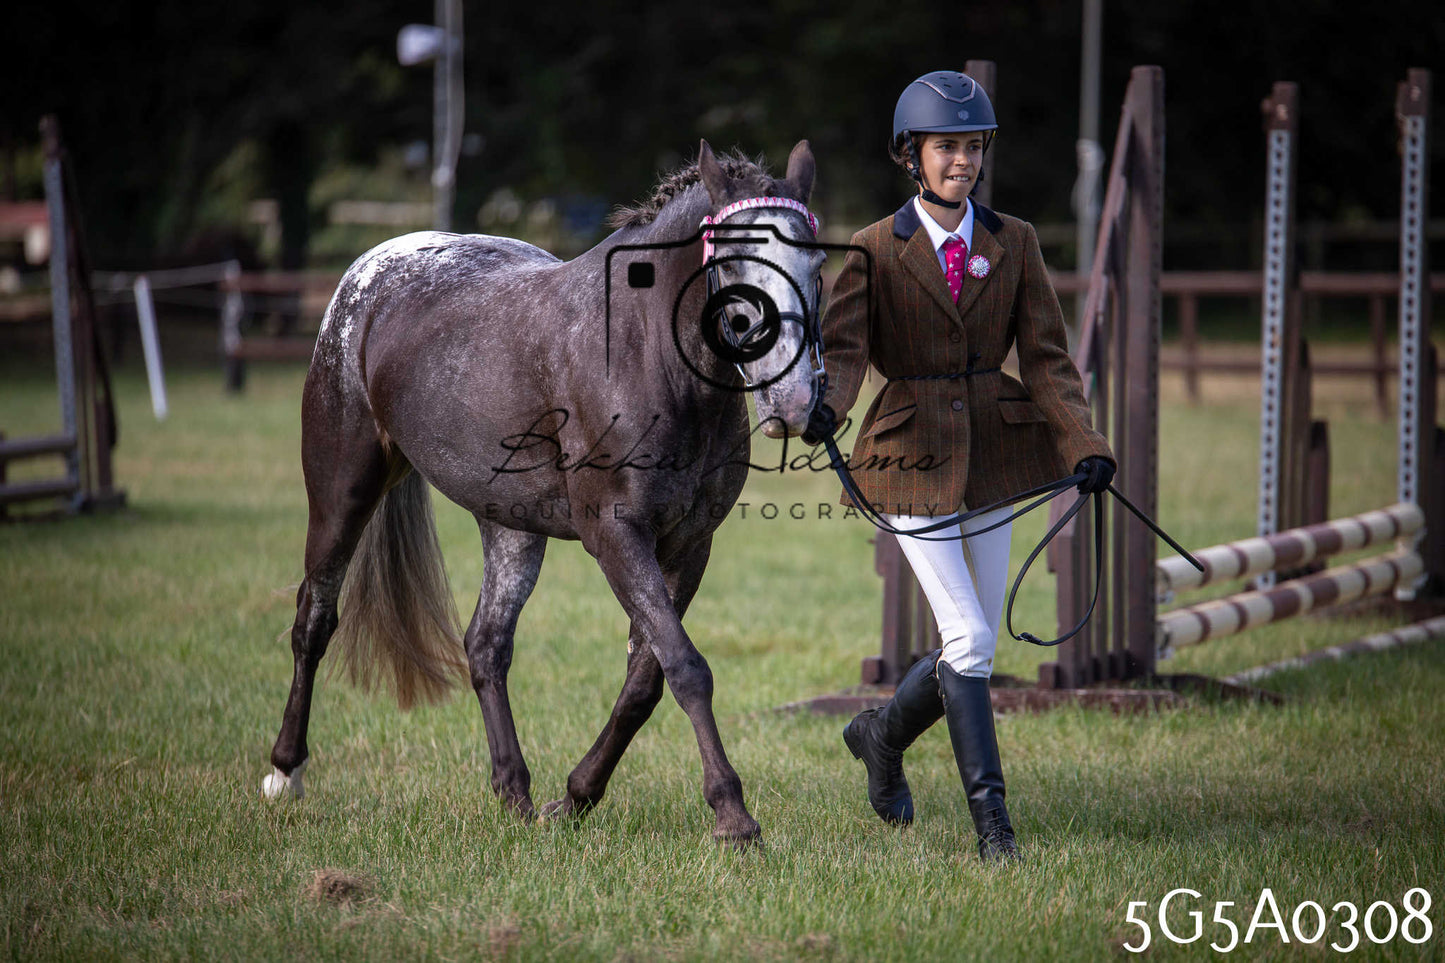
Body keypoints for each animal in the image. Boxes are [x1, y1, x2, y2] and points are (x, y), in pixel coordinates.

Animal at [262, 140, 824, 844]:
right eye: (734, 258)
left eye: (817, 261)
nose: (796, 402)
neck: (643, 355)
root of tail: (369, 274)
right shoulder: (615, 535)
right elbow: (686, 667)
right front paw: (732, 813)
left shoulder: (688, 546)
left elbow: (646, 680)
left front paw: (577, 796)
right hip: (342, 492)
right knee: (314, 619)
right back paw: (285, 772)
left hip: (510, 526)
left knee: (485, 645)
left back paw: (515, 792)